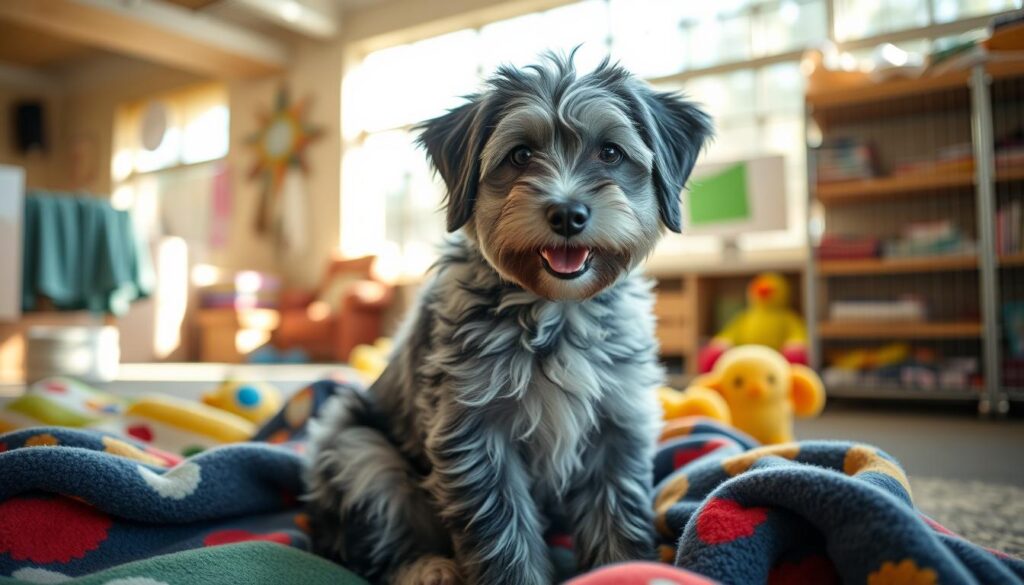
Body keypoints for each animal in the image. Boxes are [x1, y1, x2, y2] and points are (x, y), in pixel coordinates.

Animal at [303, 54, 712, 585]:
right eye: (520, 155)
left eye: (610, 152)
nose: (567, 213)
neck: (558, 309)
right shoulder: (474, 432)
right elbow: (503, 531)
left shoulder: (617, 426)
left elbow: (616, 517)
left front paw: (624, 569)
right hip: (357, 449)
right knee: (368, 547)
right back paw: (428, 568)